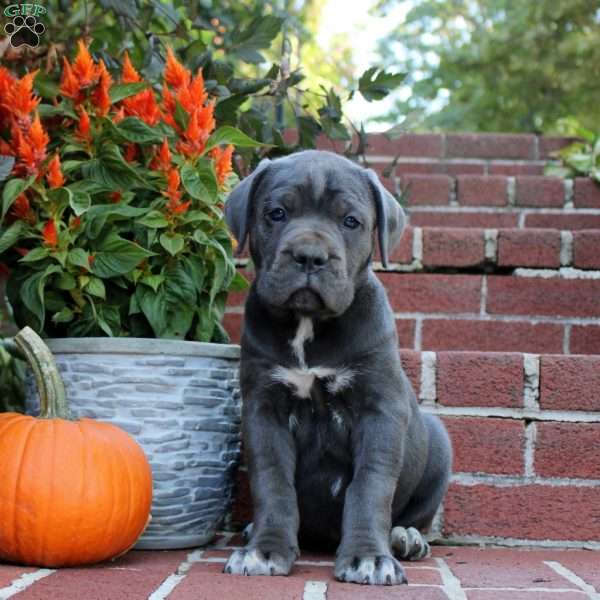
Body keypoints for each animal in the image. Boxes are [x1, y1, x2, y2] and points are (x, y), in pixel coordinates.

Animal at [221, 151, 450, 584]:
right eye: (277, 213)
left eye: (351, 221)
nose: (310, 256)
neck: (309, 325)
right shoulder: (264, 410)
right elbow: (272, 482)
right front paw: (264, 550)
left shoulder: (379, 411)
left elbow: (370, 486)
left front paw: (369, 557)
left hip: (439, 446)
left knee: (416, 513)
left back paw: (406, 538)